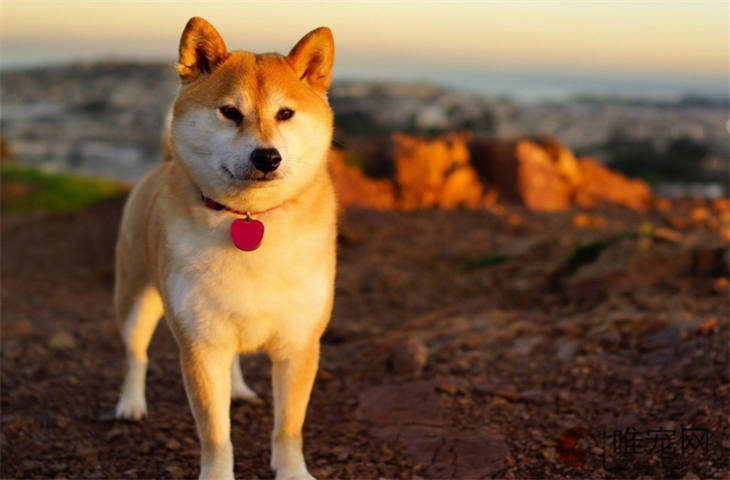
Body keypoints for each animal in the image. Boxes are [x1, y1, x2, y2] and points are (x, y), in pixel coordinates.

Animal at [113, 16, 336, 478]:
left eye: (285, 113)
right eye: (230, 112)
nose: (267, 157)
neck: (249, 219)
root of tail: (162, 164)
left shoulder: (299, 344)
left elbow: (289, 427)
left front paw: (292, 471)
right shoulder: (201, 346)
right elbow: (216, 435)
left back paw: (236, 388)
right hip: (136, 301)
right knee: (136, 355)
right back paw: (130, 404)